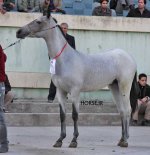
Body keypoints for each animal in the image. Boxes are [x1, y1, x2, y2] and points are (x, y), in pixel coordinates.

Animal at [16, 15, 138, 148]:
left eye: (38, 22)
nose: (19, 32)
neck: (66, 60)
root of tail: (129, 57)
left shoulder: (75, 92)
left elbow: (75, 115)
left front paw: (74, 141)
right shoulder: (61, 91)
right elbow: (62, 115)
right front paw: (59, 140)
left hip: (124, 86)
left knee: (127, 110)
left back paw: (125, 140)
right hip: (114, 86)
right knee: (121, 111)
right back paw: (121, 139)